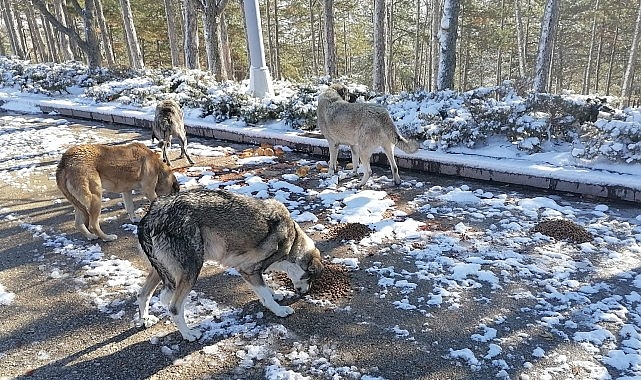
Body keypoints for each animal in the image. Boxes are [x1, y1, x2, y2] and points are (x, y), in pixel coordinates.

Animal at [136, 189, 324, 340]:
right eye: (310, 278)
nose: (305, 292)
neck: (292, 241)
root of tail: (151, 215)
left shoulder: (248, 272)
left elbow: (264, 292)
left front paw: (274, 295)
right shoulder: (249, 270)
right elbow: (266, 295)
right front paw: (279, 310)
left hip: (161, 272)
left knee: (143, 294)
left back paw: (146, 320)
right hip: (191, 272)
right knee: (174, 308)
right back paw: (188, 334)